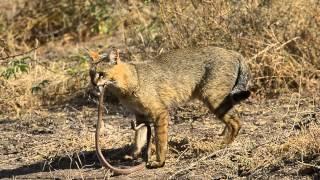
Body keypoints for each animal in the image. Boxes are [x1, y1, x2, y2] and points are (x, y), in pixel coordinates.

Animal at [89, 46, 250, 169]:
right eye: (91, 75)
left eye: (101, 74)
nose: (93, 84)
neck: (131, 80)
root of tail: (232, 52)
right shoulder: (140, 115)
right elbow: (139, 138)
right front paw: (133, 154)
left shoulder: (160, 113)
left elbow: (160, 140)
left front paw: (159, 161)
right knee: (232, 117)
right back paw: (222, 136)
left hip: (213, 98)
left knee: (236, 122)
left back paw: (222, 145)